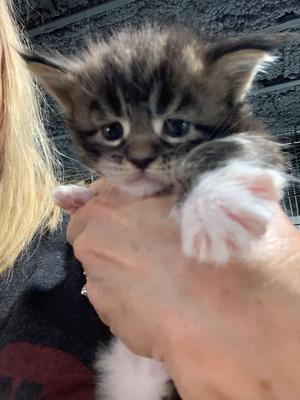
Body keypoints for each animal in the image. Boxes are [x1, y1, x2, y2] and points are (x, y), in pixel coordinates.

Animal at [22, 25, 288, 400]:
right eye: (112, 131)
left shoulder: (257, 134)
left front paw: (216, 210)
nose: (141, 159)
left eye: (176, 126)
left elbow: (232, 148)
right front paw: (76, 195)